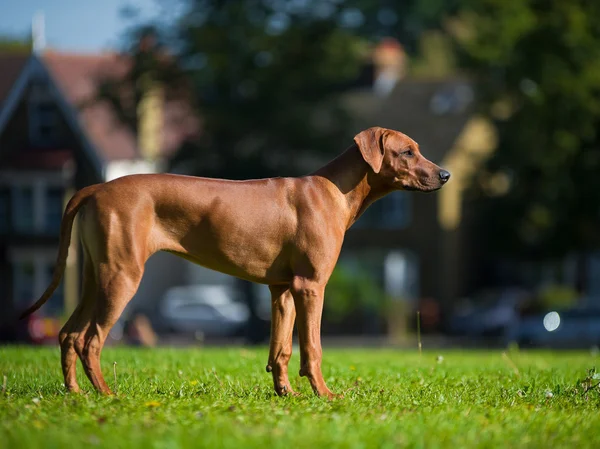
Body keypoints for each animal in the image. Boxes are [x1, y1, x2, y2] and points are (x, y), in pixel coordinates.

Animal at [18, 126, 450, 396]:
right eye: (407, 152)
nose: (446, 174)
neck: (334, 190)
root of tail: (95, 188)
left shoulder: (283, 290)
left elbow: (280, 350)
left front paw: (286, 394)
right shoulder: (311, 287)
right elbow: (312, 348)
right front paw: (325, 395)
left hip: (95, 276)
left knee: (68, 334)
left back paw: (76, 393)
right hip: (121, 277)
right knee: (90, 340)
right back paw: (107, 394)